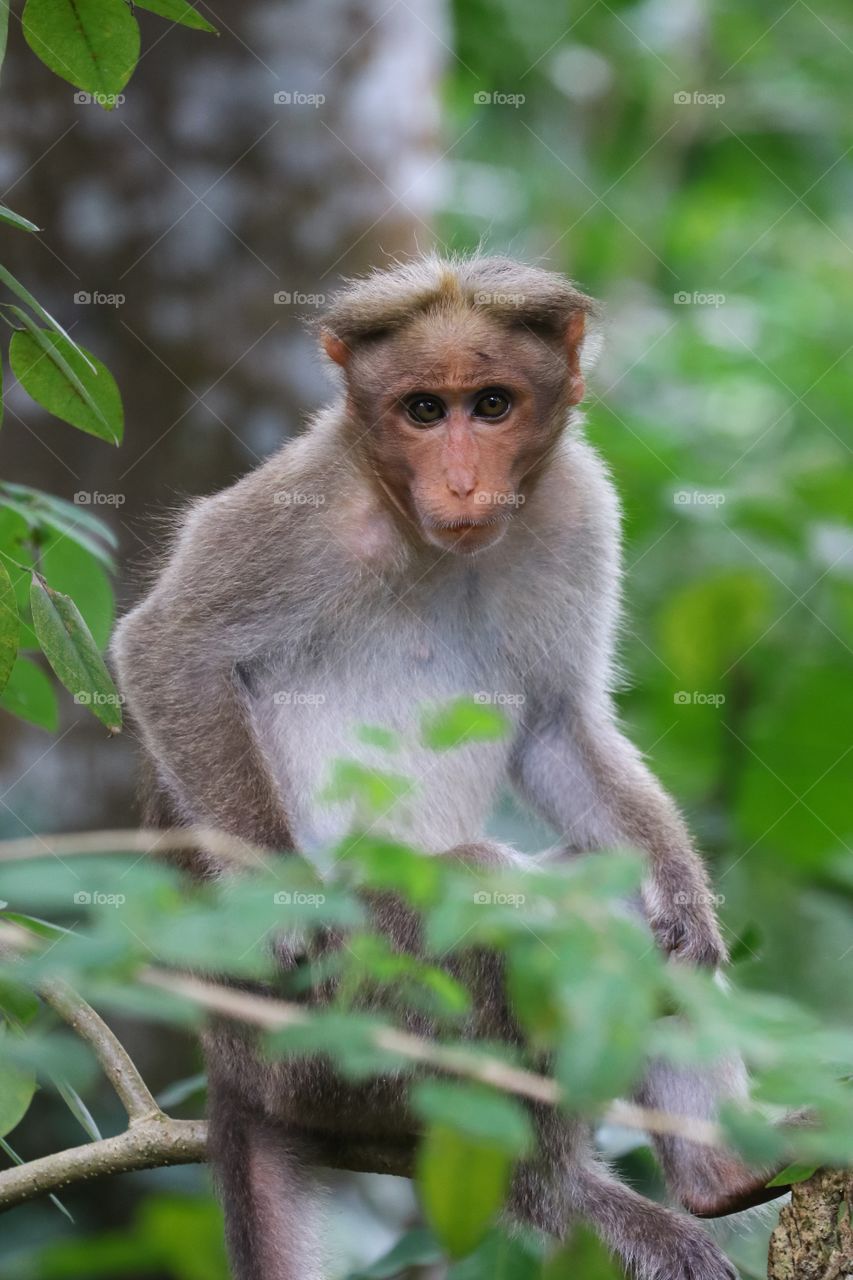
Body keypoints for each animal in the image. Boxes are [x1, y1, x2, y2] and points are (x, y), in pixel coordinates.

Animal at [112, 254, 787, 1280]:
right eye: (423, 410)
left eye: (492, 404)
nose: (465, 482)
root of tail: (231, 1066)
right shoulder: (302, 504)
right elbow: (167, 651)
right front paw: (283, 908)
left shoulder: (575, 504)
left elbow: (555, 723)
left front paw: (679, 886)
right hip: (328, 1043)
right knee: (485, 900)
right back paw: (567, 1194)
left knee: (600, 891)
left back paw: (727, 1176)